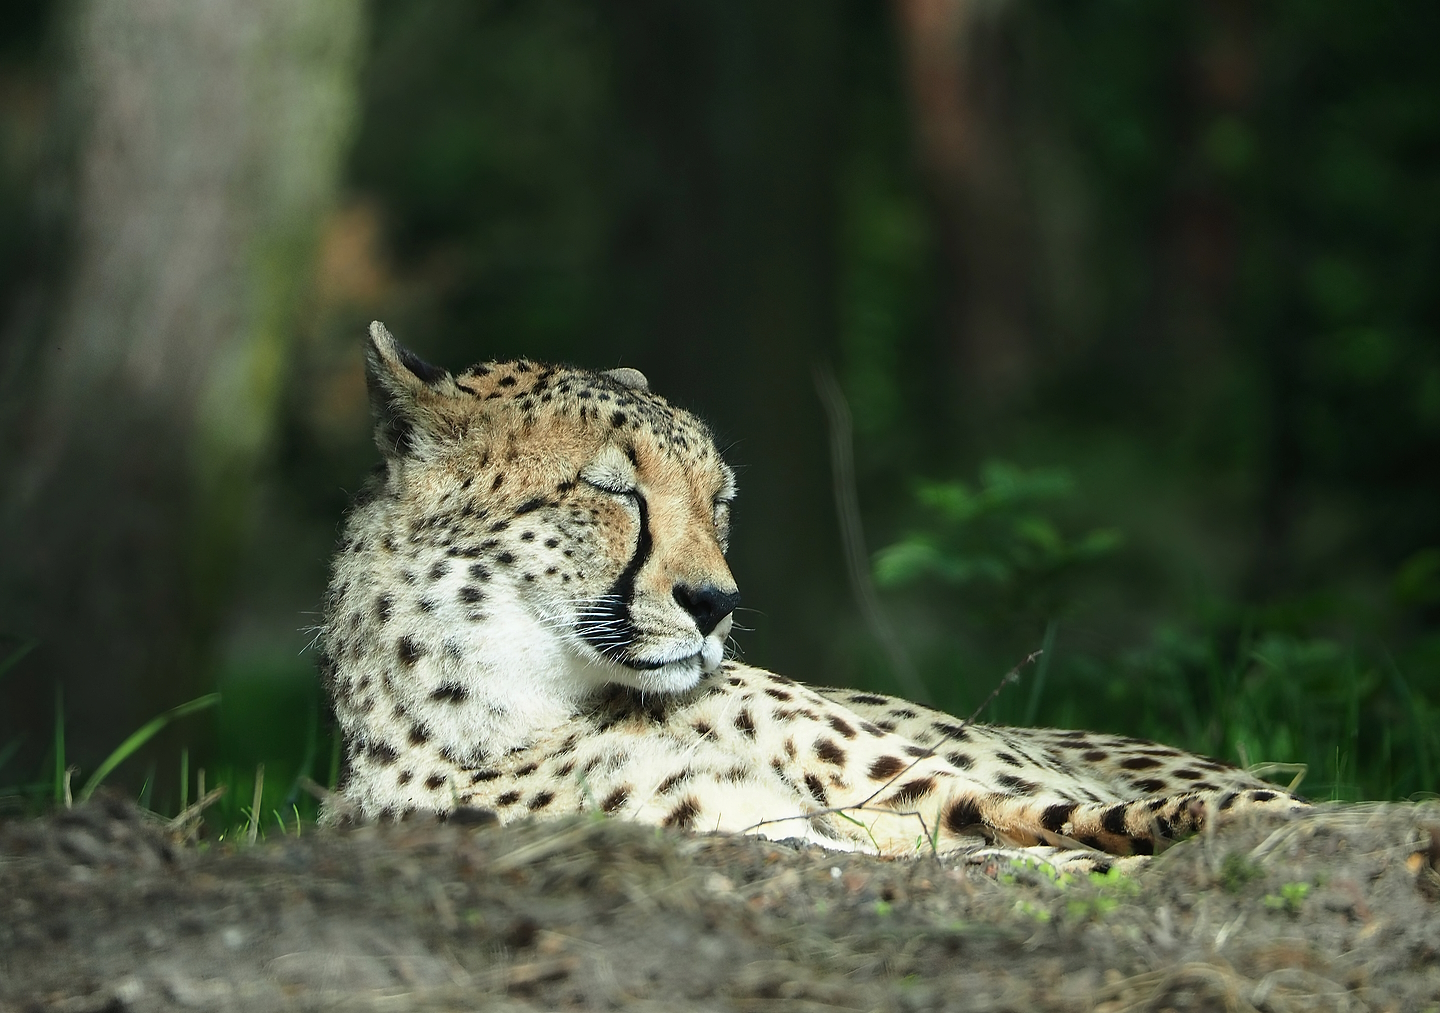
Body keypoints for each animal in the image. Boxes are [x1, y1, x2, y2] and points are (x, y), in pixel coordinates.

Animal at [319, 321, 1307, 870]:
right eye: (615, 490)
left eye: (717, 499)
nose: (716, 602)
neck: (519, 704)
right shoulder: (765, 830)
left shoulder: (928, 793)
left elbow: (1061, 817)